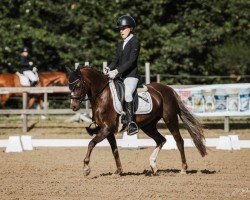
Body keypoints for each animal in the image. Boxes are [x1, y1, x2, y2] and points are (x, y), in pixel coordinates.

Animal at [67, 66, 207, 177]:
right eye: (69, 86)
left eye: (78, 85)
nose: (73, 106)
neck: (102, 95)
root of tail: (169, 90)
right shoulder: (108, 131)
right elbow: (114, 150)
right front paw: (118, 171)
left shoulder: (107, 128)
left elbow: (91, 143)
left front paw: (86, 168)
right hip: (148, 125)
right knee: (161, 140)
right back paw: (153, 167)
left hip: (170, 120)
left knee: (179, 141)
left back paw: (183, 169)